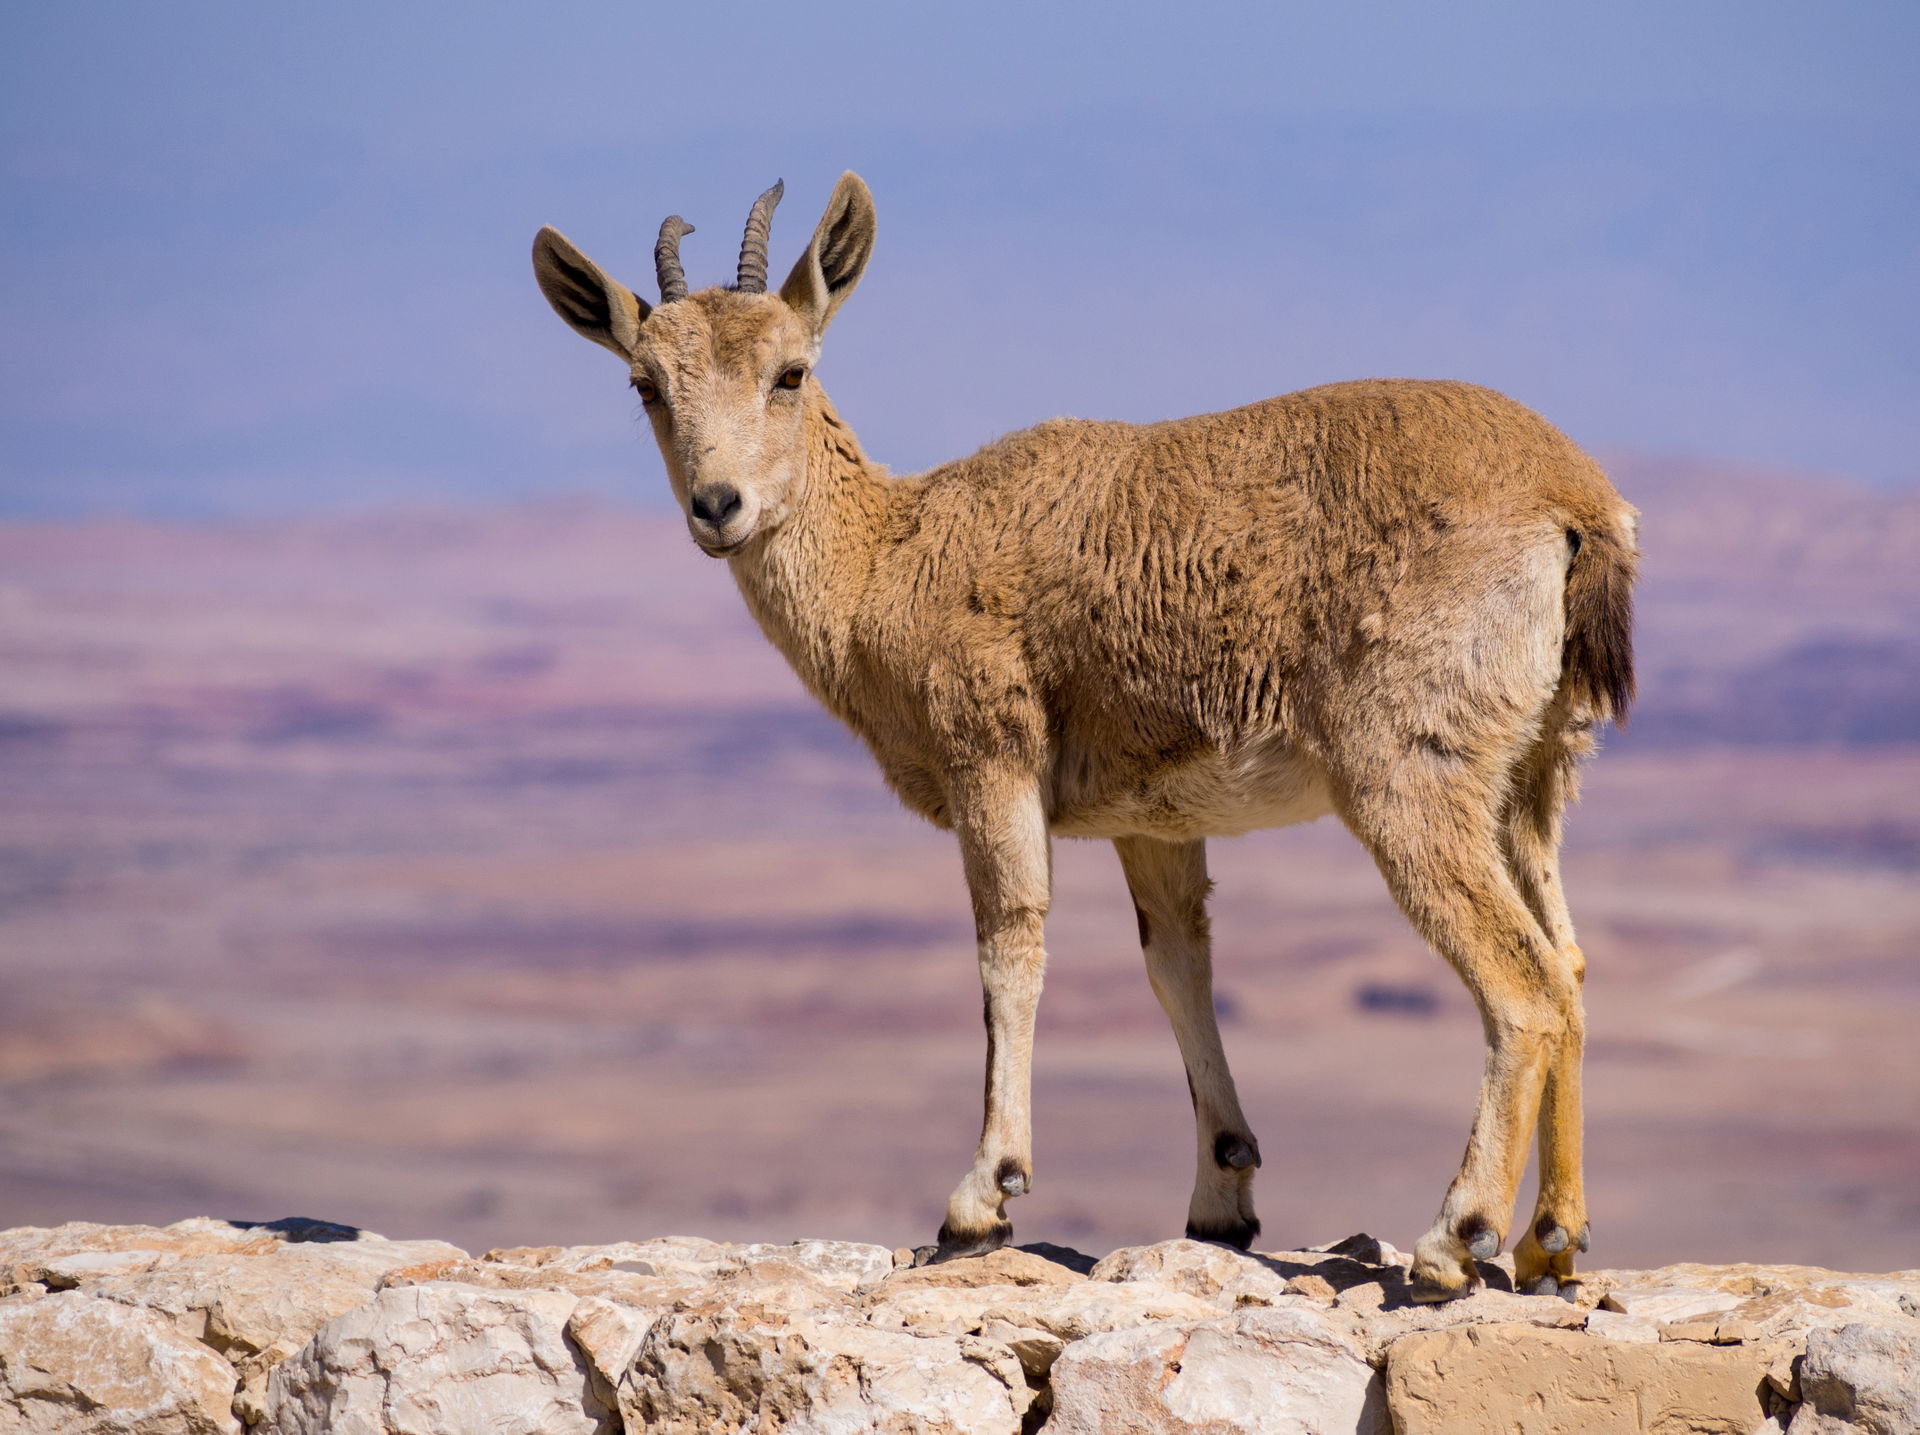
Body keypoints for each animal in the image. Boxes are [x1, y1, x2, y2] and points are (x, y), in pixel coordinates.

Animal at [531, 173, 1636, 1301]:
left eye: (790, 370)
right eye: (645, 384)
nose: (720, 505)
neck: (892, 560)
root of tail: (1575, 506)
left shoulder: (992, 753)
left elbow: (1009, 944)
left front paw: (981, 1197)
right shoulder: (1153, 817)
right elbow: (1177, 963)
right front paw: (1222, 1194)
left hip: (1408, 771)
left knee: (1525, 983)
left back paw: (1456, 1237)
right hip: (1531, 775)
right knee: (1571, 960)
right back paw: (1552, 1237)